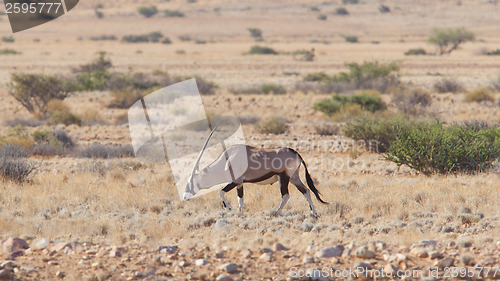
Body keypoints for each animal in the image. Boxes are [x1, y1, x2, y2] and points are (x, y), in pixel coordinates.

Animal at [184, 128, 328, 215]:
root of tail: (296, 153)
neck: (226, 160)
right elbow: (240, 198)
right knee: (306, 190)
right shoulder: (240, 184)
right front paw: (240, 214)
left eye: (191, 182)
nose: (185, 197)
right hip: (294, 178)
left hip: (284, 178)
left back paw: (276, 212)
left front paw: (229, 208)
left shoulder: (236, 181)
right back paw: (313, 213)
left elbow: (222, 192)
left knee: (286, 195)